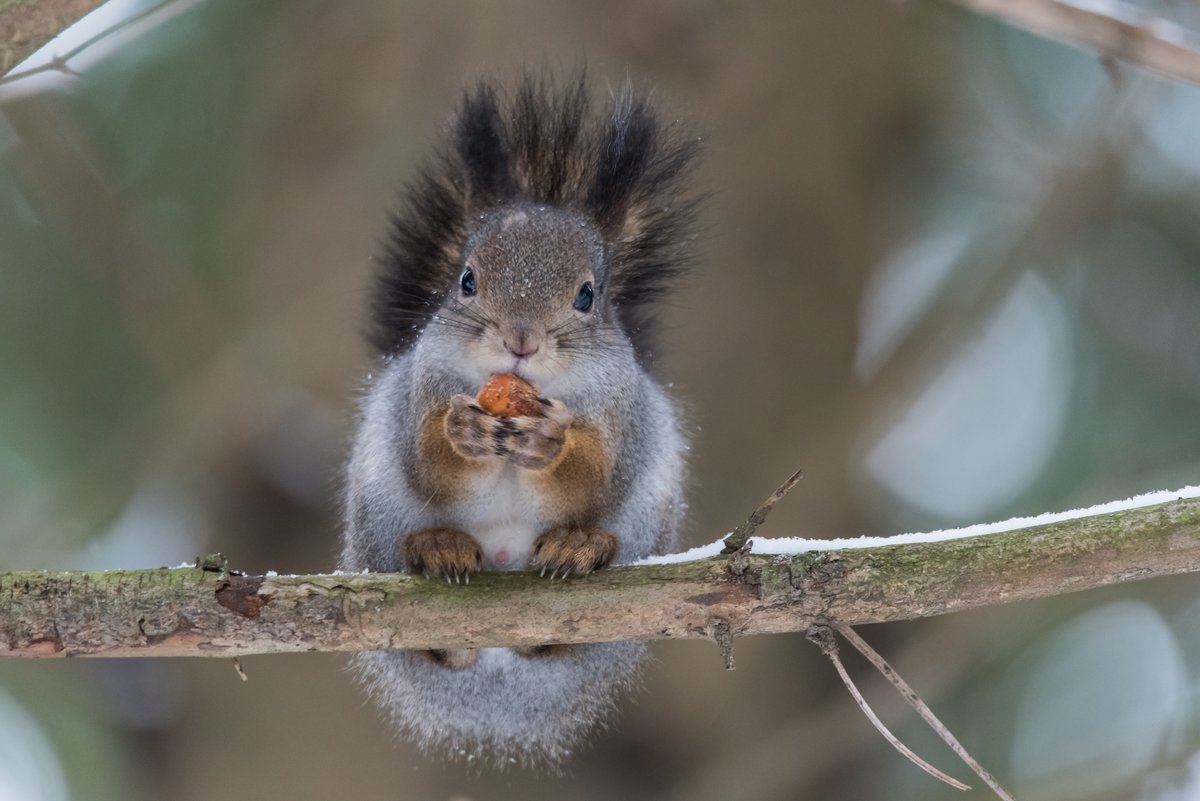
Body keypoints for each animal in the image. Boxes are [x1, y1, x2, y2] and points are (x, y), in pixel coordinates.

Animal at [338, 74, 700, 767]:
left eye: (587, 295)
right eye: (466, 281)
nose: (520, 340)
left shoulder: (620, 411)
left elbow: (594, 478)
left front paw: (553, 444)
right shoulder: (423, 389)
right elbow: (430, 469)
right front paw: (460, 436)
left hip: (646, 521)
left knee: (557, 642)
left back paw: (580, 550)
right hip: (377, 514)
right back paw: (437, 552)